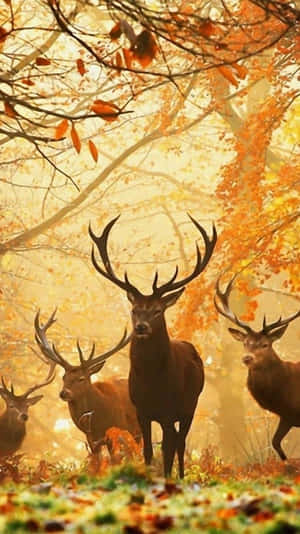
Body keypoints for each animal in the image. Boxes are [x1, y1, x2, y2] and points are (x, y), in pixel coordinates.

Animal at [33, 312, 141, 466]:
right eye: (64, 377)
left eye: (81, 378)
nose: (64, 393)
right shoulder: (91, 439)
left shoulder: (116, 431)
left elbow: (115, 461)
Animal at [88, 216, 217, 480]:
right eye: (134, 309)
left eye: (158, 310)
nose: (141, 327)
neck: (152, 382)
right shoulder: (141, 411)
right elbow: (147, 450)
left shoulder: (169, 410)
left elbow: (167, 449)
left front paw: (167, 479)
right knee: (176, 441)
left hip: (190, 404)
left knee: (180, 442)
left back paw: (180, 477)